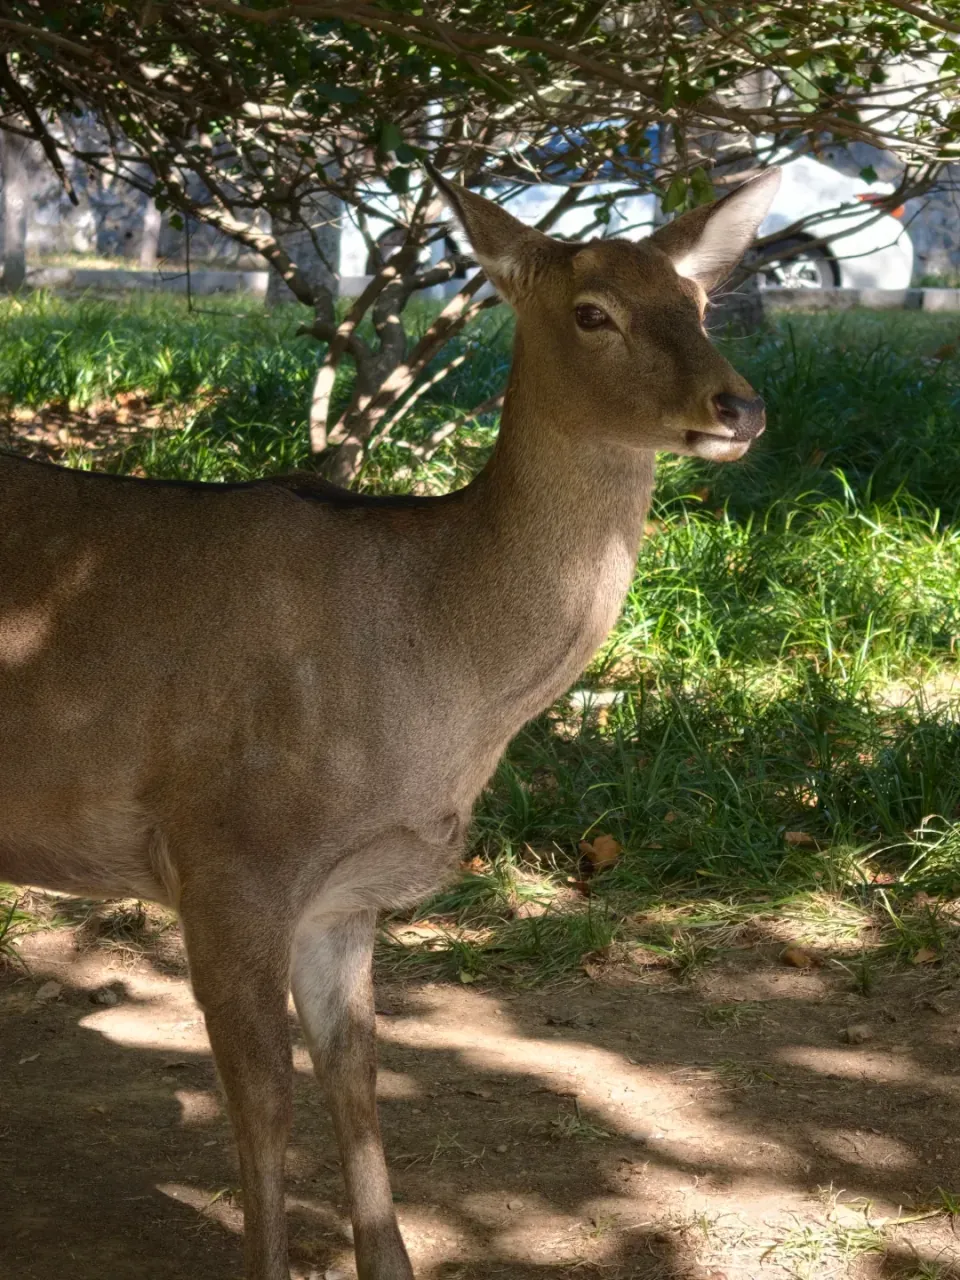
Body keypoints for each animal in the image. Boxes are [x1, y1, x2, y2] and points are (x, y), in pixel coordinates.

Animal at [0, 162, 780, 1280]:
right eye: (594, 311)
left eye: (700, 302)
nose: (741, 405)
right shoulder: (227, 852)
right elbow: (263, 1103)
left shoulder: (344, 896)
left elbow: (357, 1077)